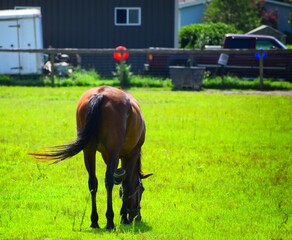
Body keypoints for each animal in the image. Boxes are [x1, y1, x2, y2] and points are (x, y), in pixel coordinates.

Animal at [29, 86, 152, 231]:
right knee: (108, 181)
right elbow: (126, 183)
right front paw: (123, 217)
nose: (137, 216)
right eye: (142, 190)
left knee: (92, 182)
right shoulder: (132, 153)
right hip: (112, 150)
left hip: (88, 150)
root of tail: (100, 94)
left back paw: (94, 220)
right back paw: (110, 221)